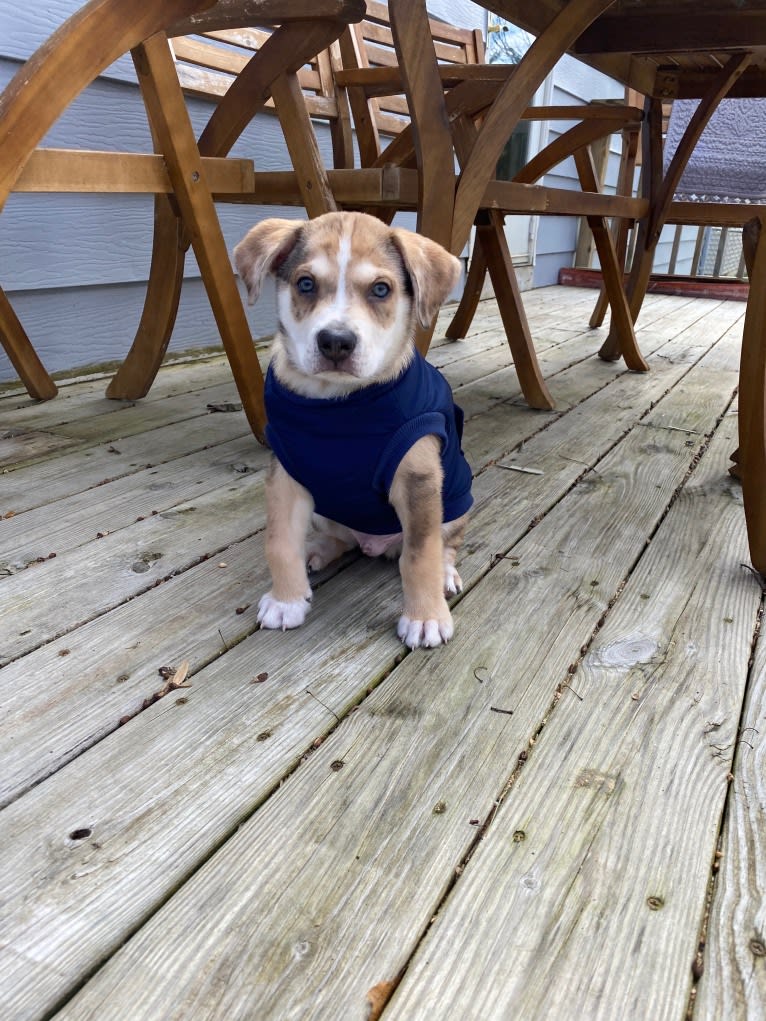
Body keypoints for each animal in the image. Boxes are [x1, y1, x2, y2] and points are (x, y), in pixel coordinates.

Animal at [233, 211, 473, 649]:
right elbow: (279, 542)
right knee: (341, 539)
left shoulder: (418, 481)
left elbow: (421, 555)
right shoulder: (285, 475)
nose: (335, 343)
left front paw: (425, 617)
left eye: (381, 289)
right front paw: (286, 600)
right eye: (305, 284)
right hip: (325, 510)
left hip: (456, 500)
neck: (339, 404)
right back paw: (318, 552)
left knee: (445, 546)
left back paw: (445, 576)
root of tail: (375, 545)